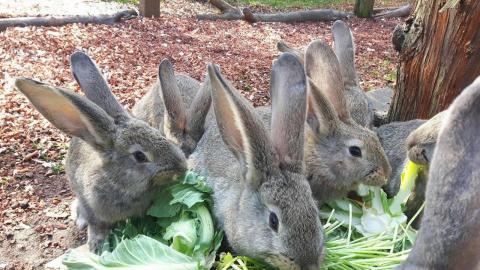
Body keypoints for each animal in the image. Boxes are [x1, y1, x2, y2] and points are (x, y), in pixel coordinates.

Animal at [14, 53, 188, 253]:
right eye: (139, 156)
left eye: (158, 132)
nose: (182, 166)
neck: (121, 183)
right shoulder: (94, 211)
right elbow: (96, 226)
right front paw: (96, 246)